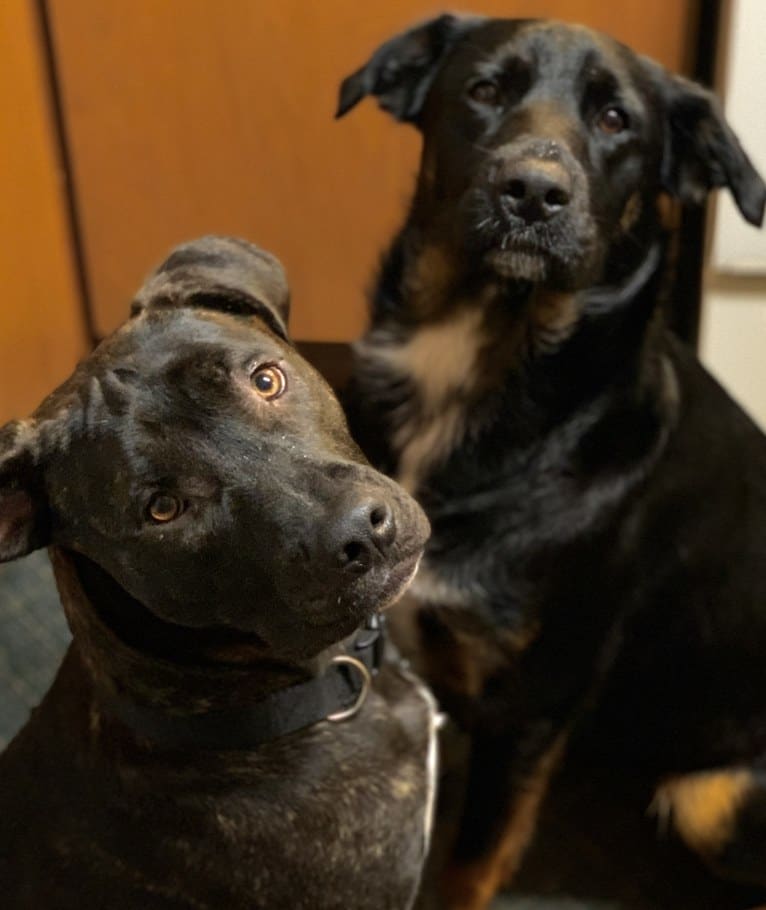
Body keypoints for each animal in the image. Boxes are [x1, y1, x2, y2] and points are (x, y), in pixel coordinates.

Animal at [340, 14, 766, 910]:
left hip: (713, 798)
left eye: (615, 121)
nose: (533, 192)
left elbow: (469, 862)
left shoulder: (530, 706)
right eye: (483, 90)